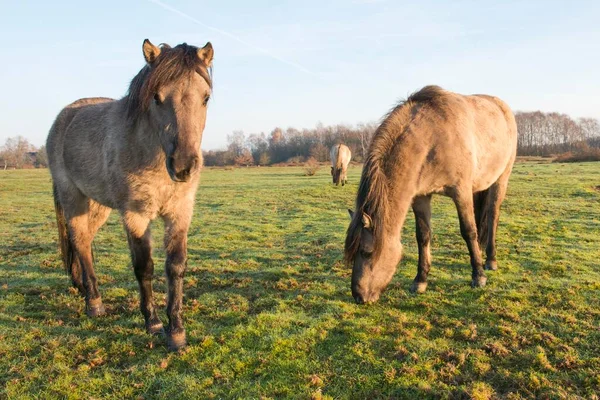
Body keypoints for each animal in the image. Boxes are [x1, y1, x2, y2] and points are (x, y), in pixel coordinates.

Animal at [47, 38, 216, 350]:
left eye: (206, 98)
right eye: (157, 98)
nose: (184, 166)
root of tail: (66, 115)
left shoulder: (180, 213)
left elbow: (175, 266)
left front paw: (177, 332)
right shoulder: (135, 215)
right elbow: (144, 266)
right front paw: (153, 323)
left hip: (98, 205)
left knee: (85, 242)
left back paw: (84, 288)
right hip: (73, 197)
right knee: (79, 241)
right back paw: (94, 303)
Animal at [344, 84, 516, 304]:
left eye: (367, 252)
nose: (359, 296)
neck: (432, 139)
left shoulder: (461, 192)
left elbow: (468, 231)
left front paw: (478, 276)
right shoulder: (420, 197)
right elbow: (423, 235)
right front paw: (420, 280)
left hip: (501, 179)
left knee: (493, 215)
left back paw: (490, 260)